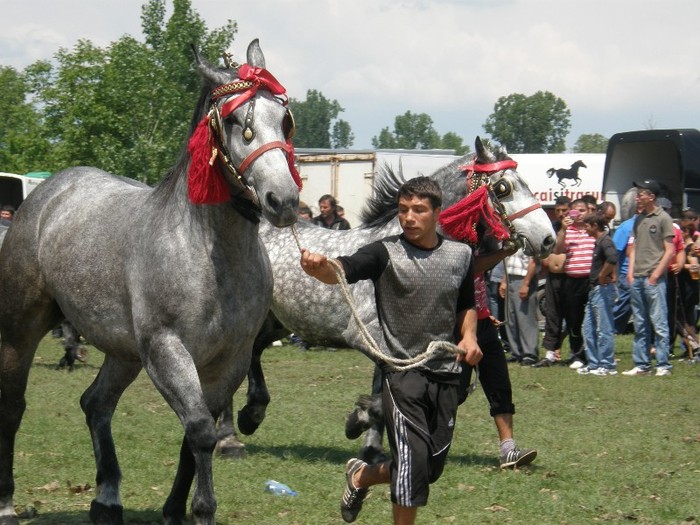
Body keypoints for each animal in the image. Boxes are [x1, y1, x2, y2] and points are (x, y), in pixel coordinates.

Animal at [0, 40, 298, 524]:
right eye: (238, 123)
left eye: (284, 120)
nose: (284, 200)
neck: (208, 255)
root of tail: (49, 193)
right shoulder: (166, 349)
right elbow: (200, 431)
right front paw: (200, 509)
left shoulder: (229, 360)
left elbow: (194, 437)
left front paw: (175, 509)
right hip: (20, 328)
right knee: (12, 406)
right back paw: (7, 503)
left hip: (123, 352)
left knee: (96, 404)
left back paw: (106, 499)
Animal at [226, 137, 556, 460]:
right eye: (504, 188)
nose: (548, 239)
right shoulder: (366, 335)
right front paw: (357, 420)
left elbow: (391, 384)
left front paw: (370, 445)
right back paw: (230, 437)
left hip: (275, 322)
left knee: (251, 354)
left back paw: (251, 414)